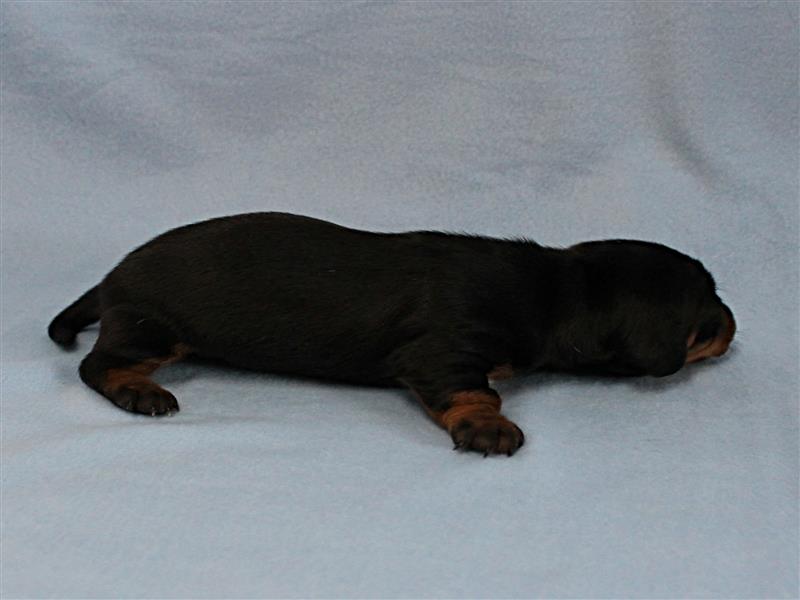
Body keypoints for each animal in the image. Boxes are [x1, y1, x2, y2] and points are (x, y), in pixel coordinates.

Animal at [48, 212, 735, 456]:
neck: (557, 289)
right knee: (96, 365)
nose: (735, 325)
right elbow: (477, 391)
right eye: (708, 311)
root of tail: (110, 278)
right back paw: (140, 391)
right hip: (152, 327)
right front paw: (488, 427)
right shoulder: (443, 353)